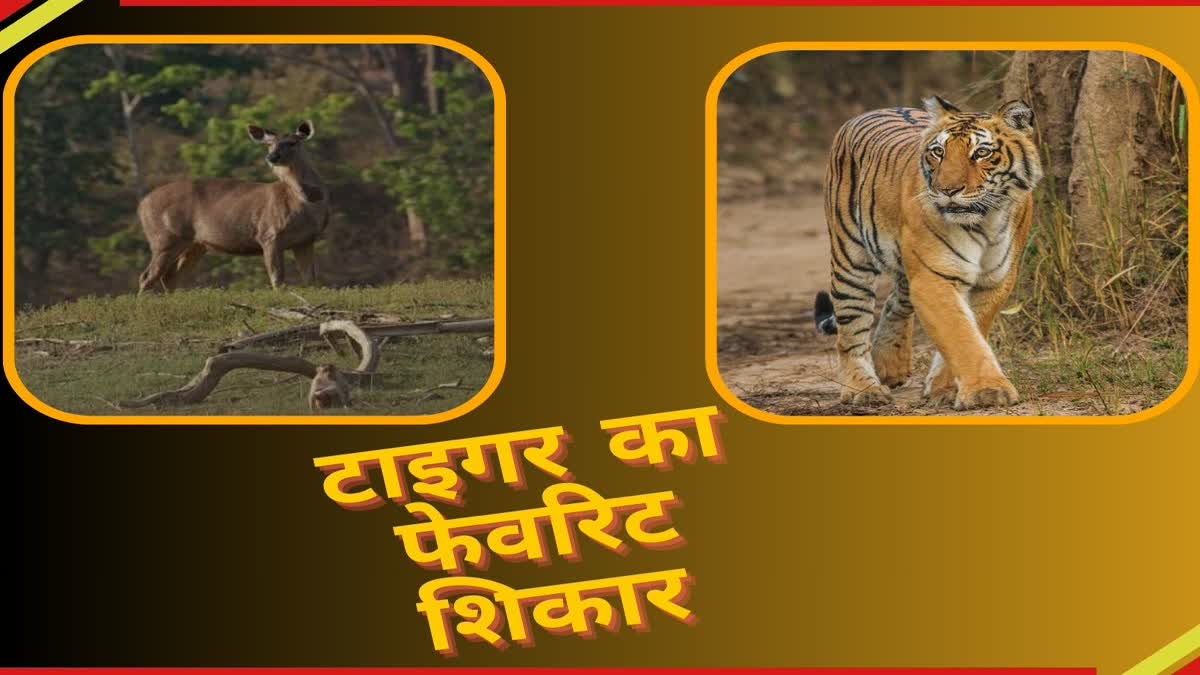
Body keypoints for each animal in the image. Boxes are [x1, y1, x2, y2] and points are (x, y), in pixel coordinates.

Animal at [813, 96, 1043, 410]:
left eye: (981, 153)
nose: (947, 190)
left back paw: (889, 365)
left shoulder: (995, 280)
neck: (985, 221)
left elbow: (972, 328)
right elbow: (960, 333)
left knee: (895, 301)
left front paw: (944, 388)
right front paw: (987, 391)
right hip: (850, 257)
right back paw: (864, 389)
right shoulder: (934, 277)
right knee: (851, 330)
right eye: (938, 152)